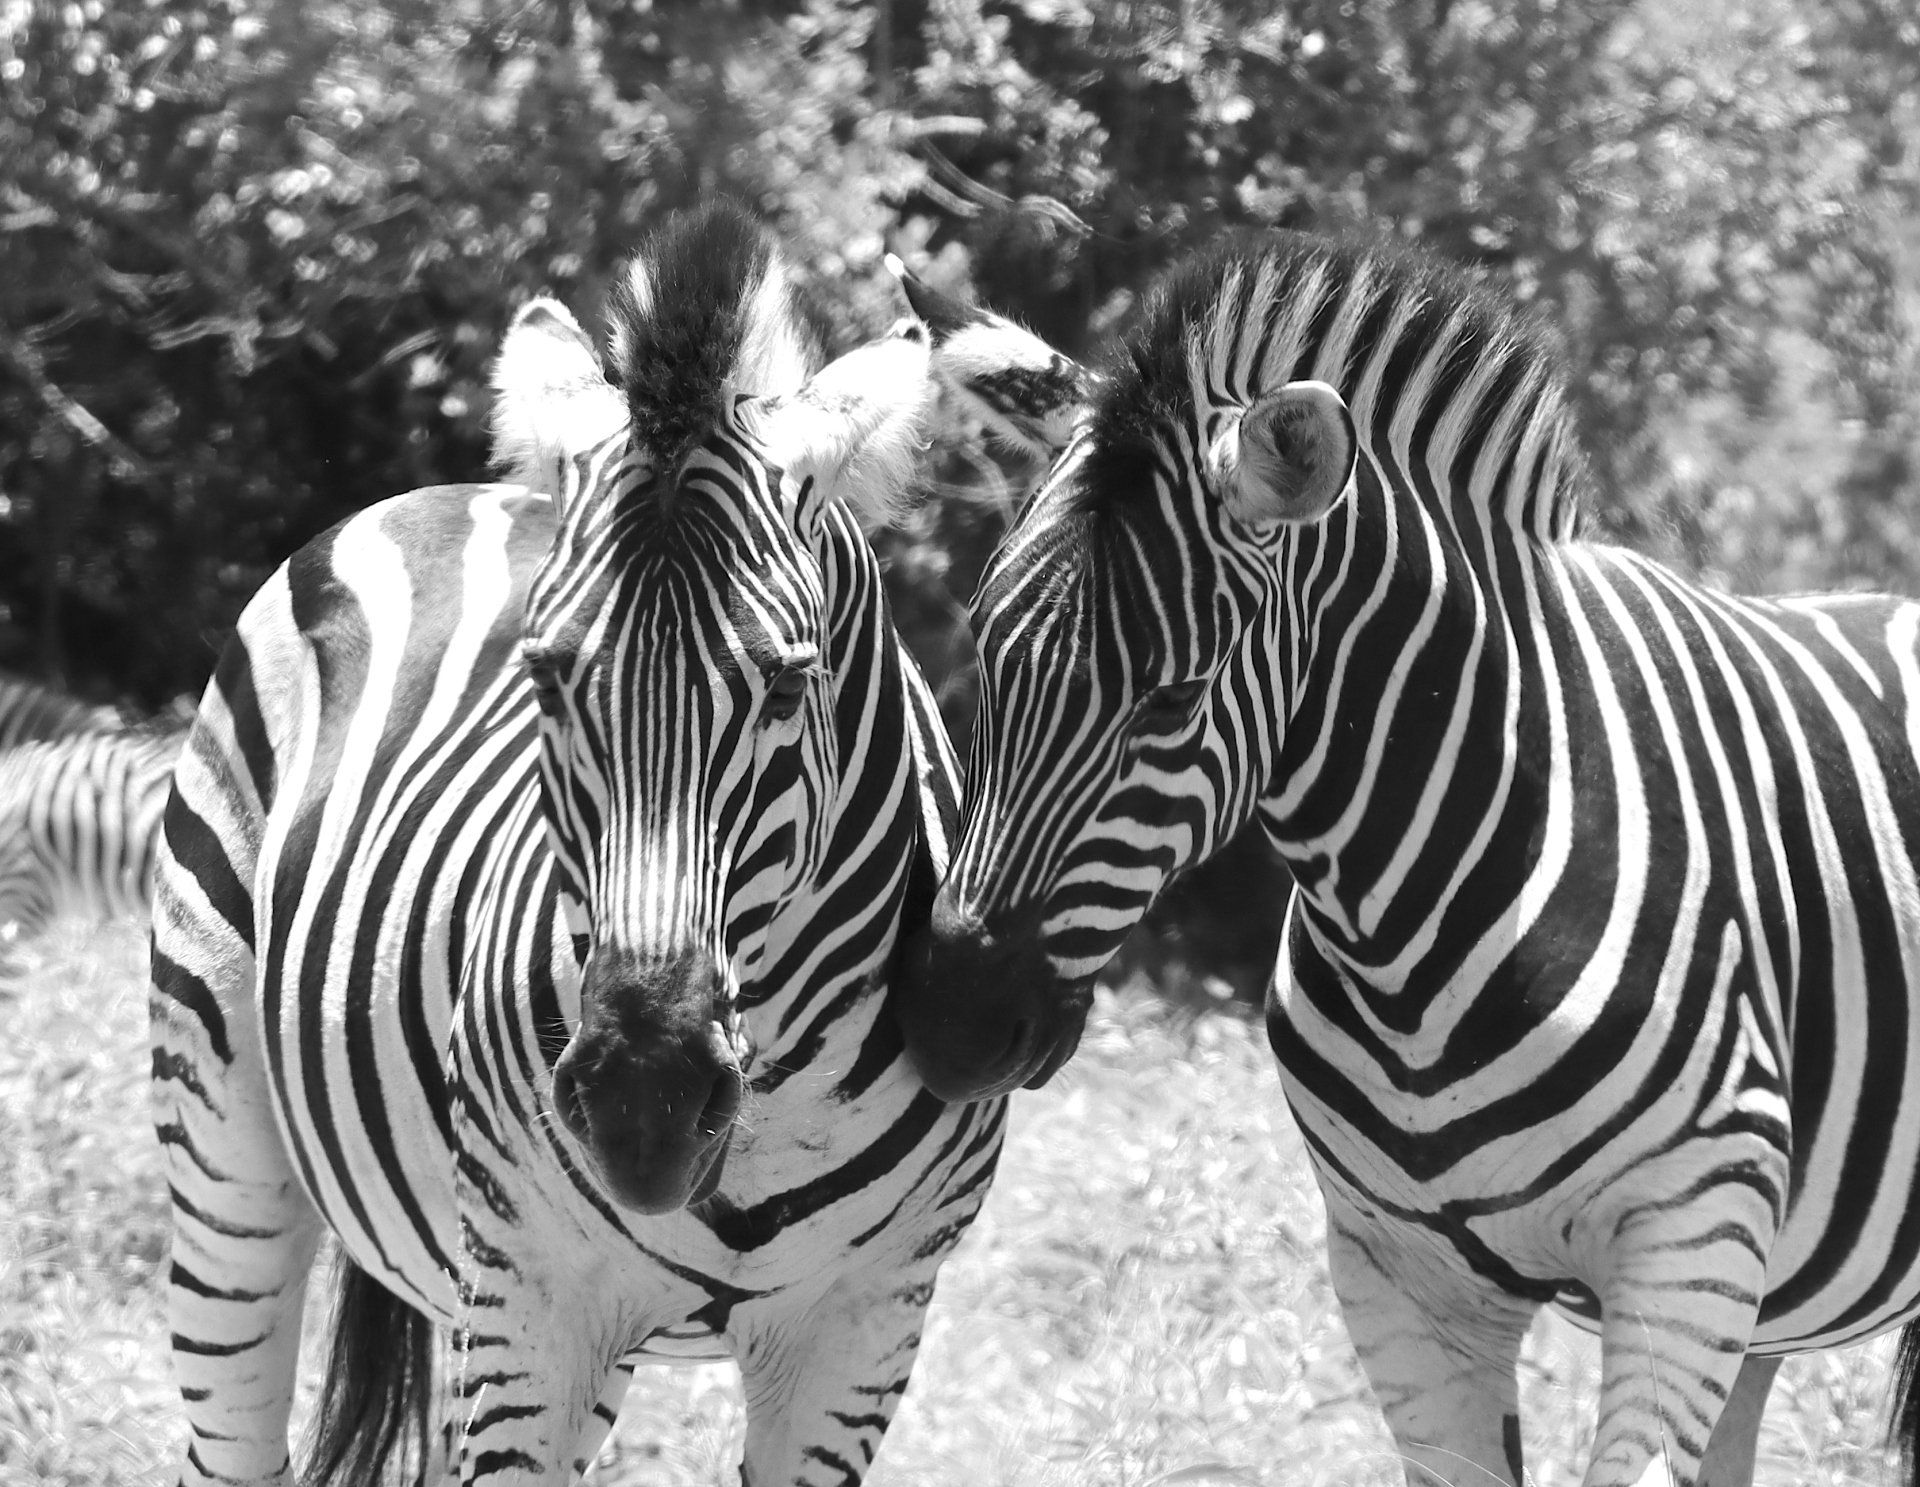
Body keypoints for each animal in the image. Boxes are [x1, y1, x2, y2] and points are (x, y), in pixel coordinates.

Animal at [150, 201, 1004, 1487]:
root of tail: (450, 491)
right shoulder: (533, 1299)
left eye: (786, 686)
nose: (645, 1103)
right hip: (227, 1156)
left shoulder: (868, 1325)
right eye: (546, 678)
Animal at [888, 231, 1920, 1486]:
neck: (1418, 934)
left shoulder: (1692, 1242)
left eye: (1174, 697)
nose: (949, 1024)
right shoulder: (1399, 1278)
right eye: (985, 649)